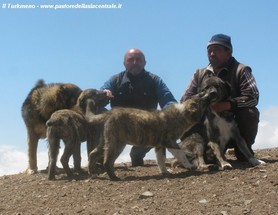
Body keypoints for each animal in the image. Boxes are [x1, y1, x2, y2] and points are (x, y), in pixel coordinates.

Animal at [87, 95, 217, 181]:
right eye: (201, 101)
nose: (209, 94)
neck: (181, 114)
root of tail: (109, 113)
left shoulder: (160, 146)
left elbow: (161, 159)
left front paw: (165, 172)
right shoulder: (171, 142)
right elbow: (181, 155)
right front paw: (189, 166)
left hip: (106, 141)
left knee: (93, 154)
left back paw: (92, 174)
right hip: (117, 143)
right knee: (107, 161)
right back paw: (114, 178)